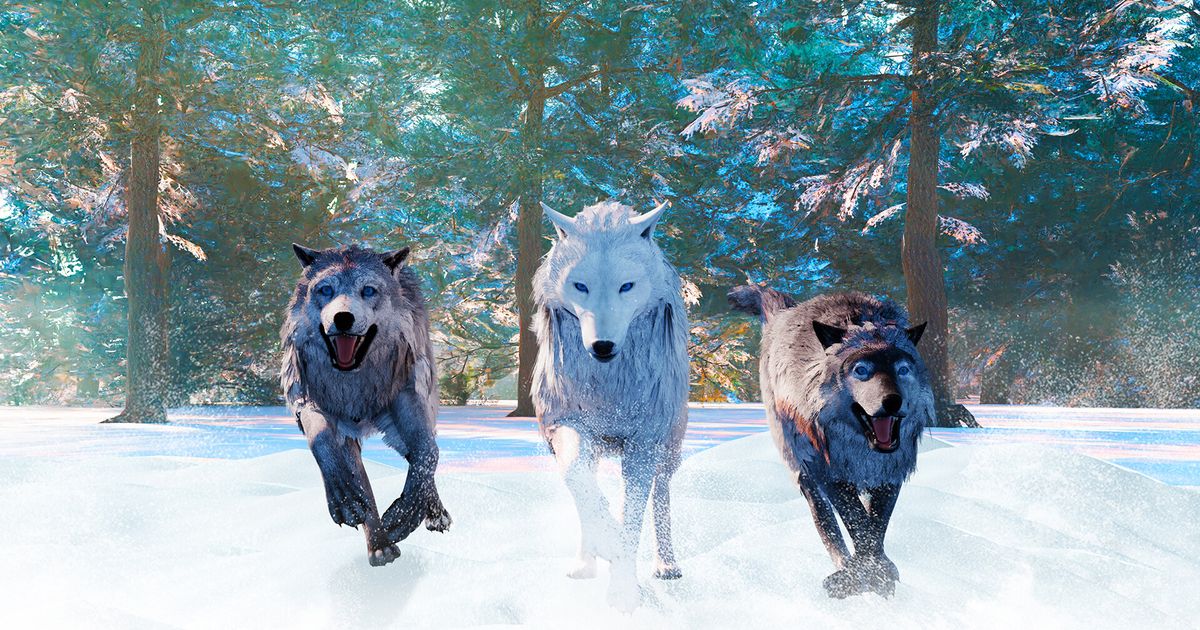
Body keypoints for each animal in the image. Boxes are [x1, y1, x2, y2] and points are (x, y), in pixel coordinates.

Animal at [280, 244, 451, 567]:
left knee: (422, 455)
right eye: (325, 290)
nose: (343, 318)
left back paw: (434, 513)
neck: (356, 386)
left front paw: (403, 516)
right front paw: (351, 507)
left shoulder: (408, 399)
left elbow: (427, 454)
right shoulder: (314, 405)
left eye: (368, 290)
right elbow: (326, 448)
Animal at [533, 200, 690, 610]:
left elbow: (633, 515)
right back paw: (584, 562)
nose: (602, 346)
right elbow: (579, 483)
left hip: (669, 445)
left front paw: (622, 591)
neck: (608, 387)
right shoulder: (566, 424)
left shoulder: (643, 442)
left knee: (660, 493)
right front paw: (605, 545)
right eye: (581, 285)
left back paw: (666, 566)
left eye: (626, 286)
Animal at [729, 285, 934, 598]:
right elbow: (857, 521)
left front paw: (878, 572)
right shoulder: (830, 472)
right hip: (802, 471)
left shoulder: (890, 474)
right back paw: (843, 566)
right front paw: (862, 576)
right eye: (861, 370)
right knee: (825, 522)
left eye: (903, 369)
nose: (893, 401)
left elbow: (876, 524)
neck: (861, 451)